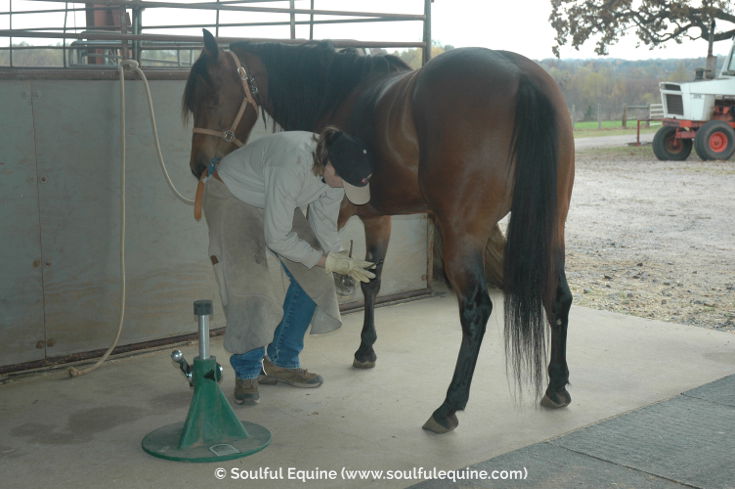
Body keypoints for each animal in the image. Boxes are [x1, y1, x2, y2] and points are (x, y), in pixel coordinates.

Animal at [183, 29, 576, 430]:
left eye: (211, 96)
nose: (199, 165)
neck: (338, 92)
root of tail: (520, 76)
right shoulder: (377, 218)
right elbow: (371, 281)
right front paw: (365, 349)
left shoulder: (336, 209)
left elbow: (308, 275)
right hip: (551, 226)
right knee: (558, 295)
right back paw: (556, 386)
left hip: (462, 235)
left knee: (476, 309)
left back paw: (448, 406)